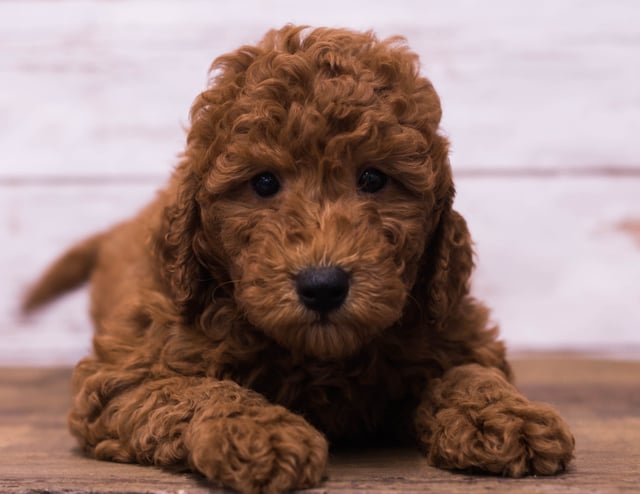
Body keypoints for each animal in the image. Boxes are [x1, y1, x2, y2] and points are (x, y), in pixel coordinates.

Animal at [23, 25, 576, 492]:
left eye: (373, 178)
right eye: (264, 183)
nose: (323, 286)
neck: (318, 359)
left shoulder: (453, 324)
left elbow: (469, 373)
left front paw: (507, 418)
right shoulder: (125, 373)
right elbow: (198, 391)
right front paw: (262, 435)